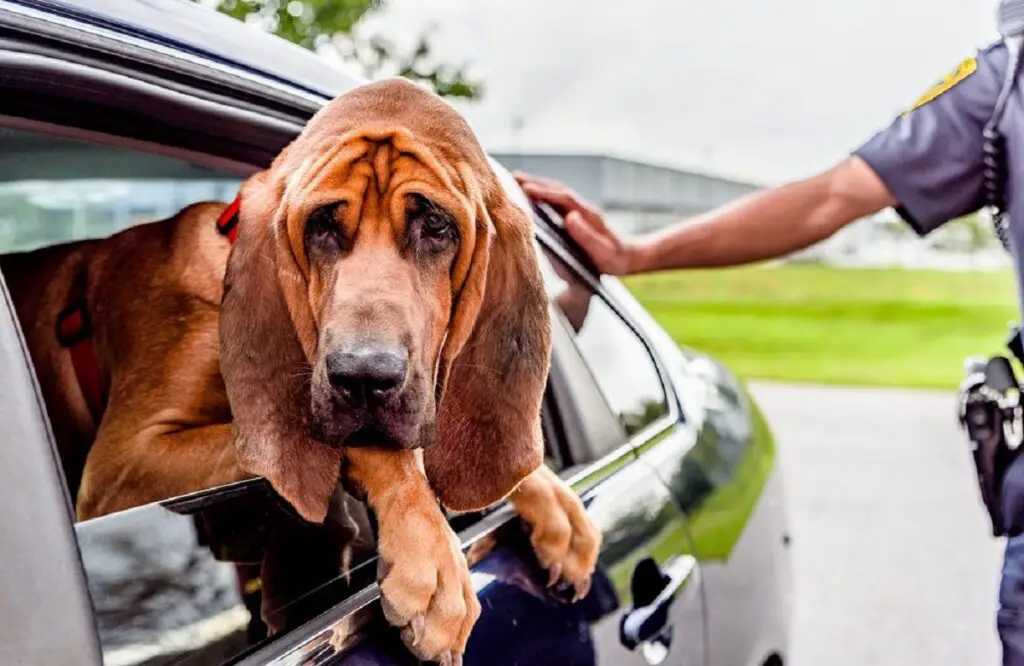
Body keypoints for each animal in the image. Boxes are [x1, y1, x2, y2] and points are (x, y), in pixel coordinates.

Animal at [2, 77, 598, 659]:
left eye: (435, 225)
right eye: (321, 225)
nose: (361, 376)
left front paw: (551, 501)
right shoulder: (122, 468)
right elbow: (372, 451)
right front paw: (432, 556)